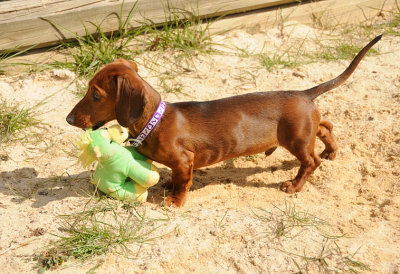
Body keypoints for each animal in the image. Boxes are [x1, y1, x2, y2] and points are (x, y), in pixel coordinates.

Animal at [65, 34, 382, 206]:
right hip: (306, 130)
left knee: (310, 162)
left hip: (295, 139)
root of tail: (304, 93)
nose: (68, 119)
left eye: (96, 94)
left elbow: (182, 182)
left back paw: (294, 185)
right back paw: (331, 151)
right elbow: (173, 178)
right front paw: (167, 186)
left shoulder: (184, 161)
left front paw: (175, 201)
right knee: (326, 126)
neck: (155, 121)